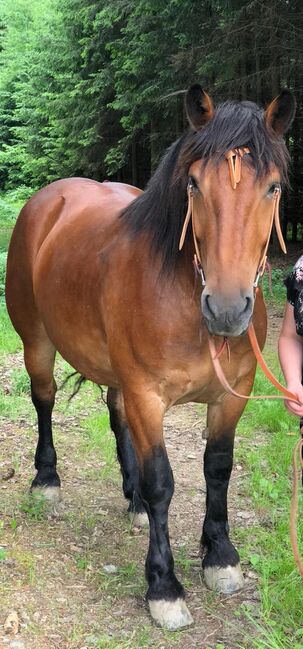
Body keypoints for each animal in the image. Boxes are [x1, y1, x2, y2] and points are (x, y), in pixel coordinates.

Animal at [5, 85, 296, 628]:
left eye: (272, 188)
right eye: (195, 184)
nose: (227, 309)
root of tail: (48, 200)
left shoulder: (232, 397)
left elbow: (218, 468)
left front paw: (220, 556)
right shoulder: (148, 394)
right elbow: (163, 481)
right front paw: (164, 586)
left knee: (116, 415)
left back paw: (132, 497)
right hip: (38, 344)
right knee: (45, 400)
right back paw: (47, 480)